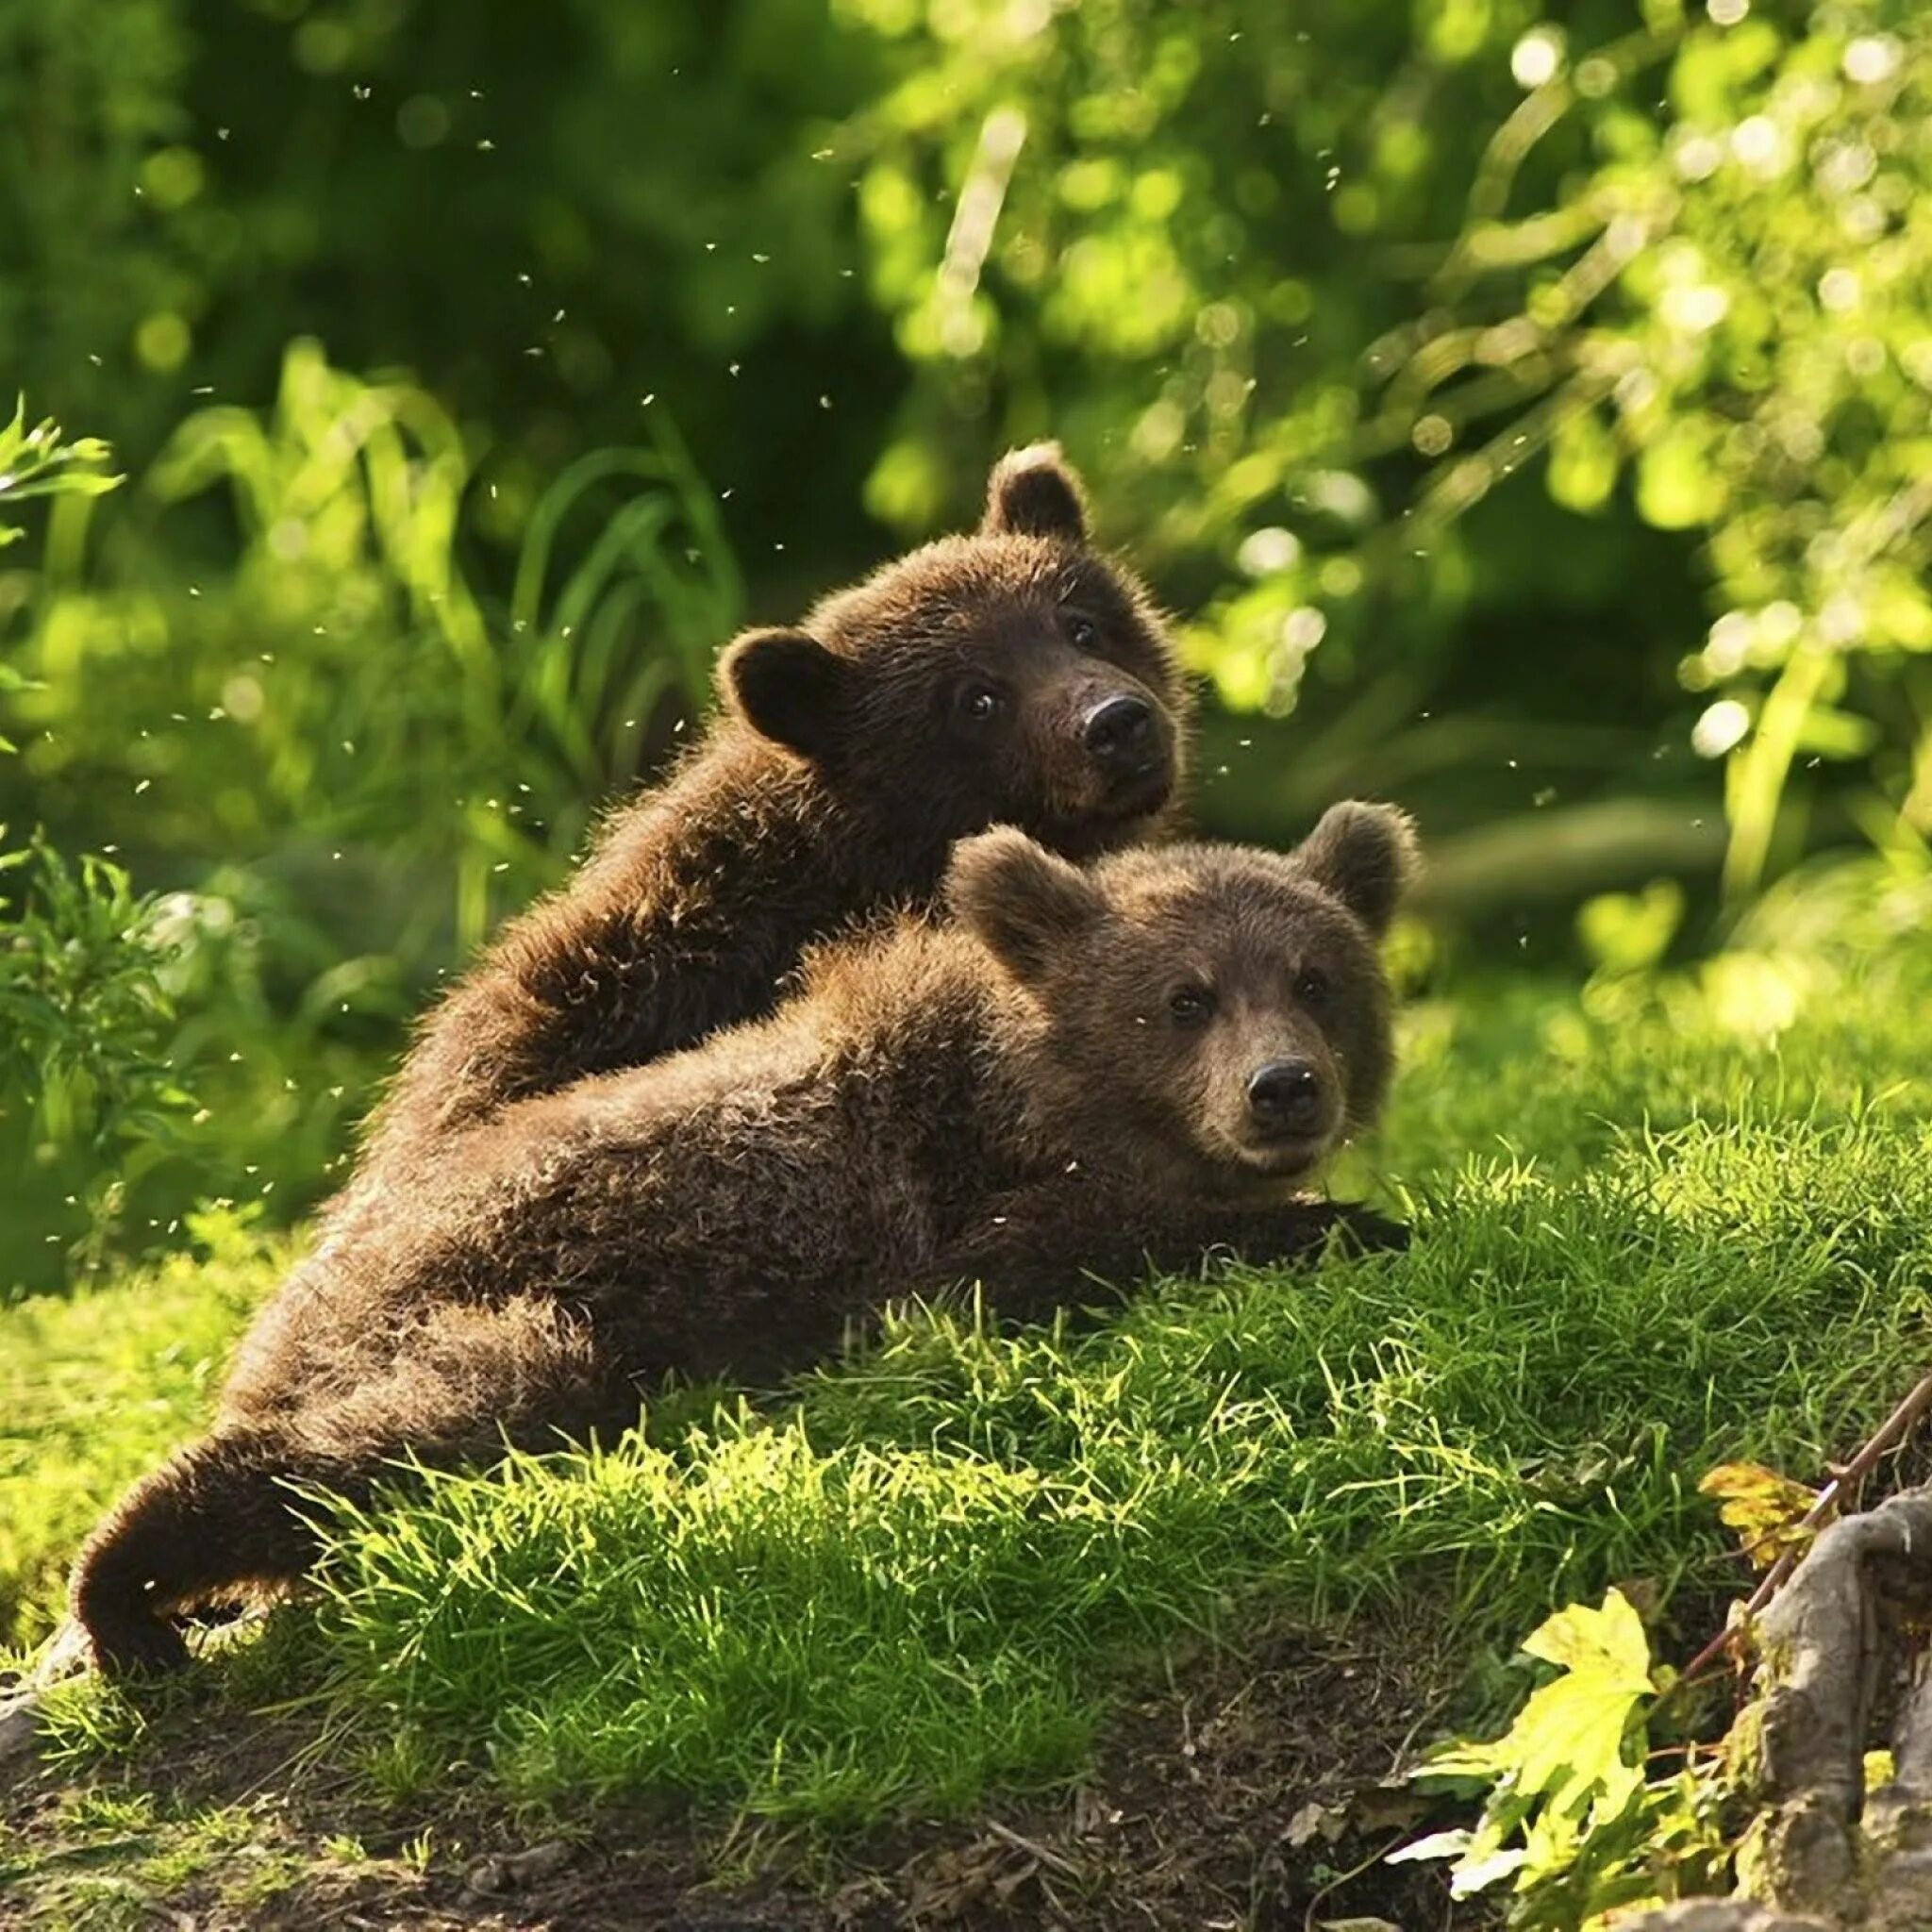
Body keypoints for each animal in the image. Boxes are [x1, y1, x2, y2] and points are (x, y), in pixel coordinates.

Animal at [71, 803, 1422, 1676]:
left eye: (1315, 976)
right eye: (1184, 997)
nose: (1283, 1089)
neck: (1028, 1097)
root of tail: (285, 1308)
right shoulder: (932, 1225)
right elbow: (1050, 1258)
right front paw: (1352, 1220)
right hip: (483, 1299)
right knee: (430, 1415)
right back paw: (128, 1586)